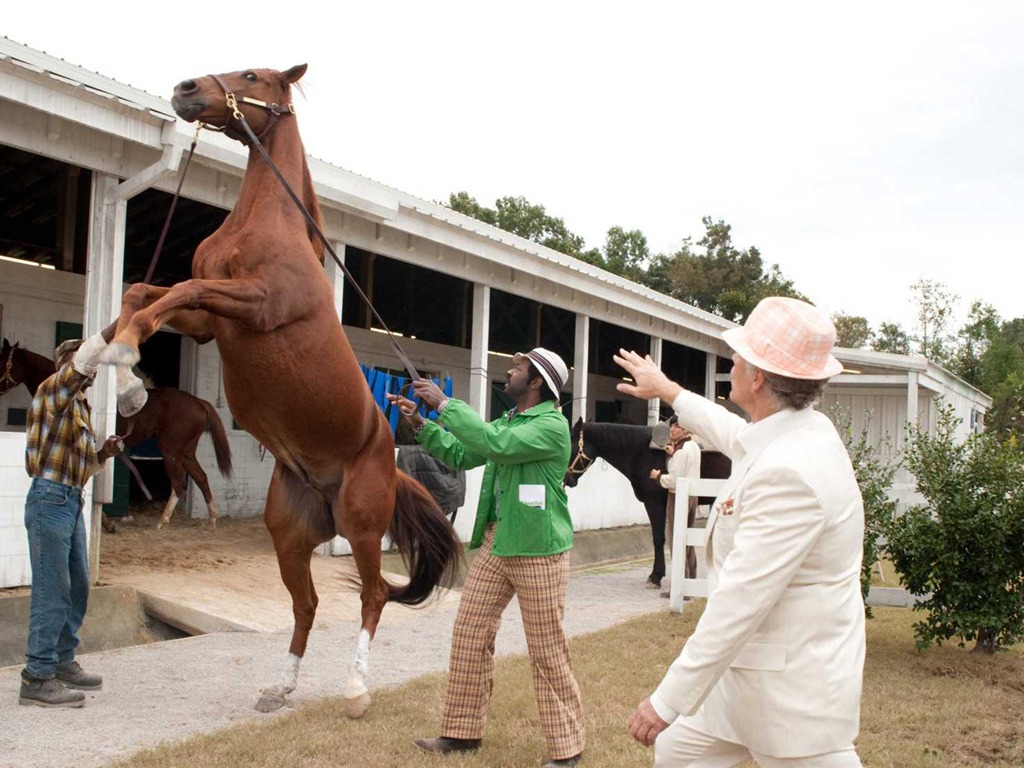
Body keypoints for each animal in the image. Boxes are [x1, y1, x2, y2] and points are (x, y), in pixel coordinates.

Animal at [0, 337, 232, 528]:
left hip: (172, 451)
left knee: (178, 485)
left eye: (1, 361)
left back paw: (162, 521)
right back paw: (212, 518)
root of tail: (199, 402)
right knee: (201, 477)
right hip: (186, 452)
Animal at [98, 63, 460, 720]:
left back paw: (356, 690)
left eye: (252, 74)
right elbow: (143, 291)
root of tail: (386, 463)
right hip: (289, 536)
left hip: (362, 526)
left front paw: (127, 367)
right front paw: (98, 356)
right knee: (307, 604)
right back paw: (282, 687)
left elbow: (177, 290)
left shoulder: (254, 303)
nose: (187, 90)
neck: (264, 222)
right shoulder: (210, 322)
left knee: (373, 596)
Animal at [565, 421, 733, 589]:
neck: (641, 452)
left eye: (570, 447)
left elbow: (658, 539)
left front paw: (655, 576)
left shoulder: (654, 503)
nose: (567, 480)